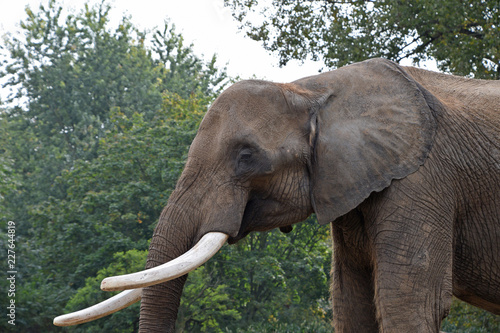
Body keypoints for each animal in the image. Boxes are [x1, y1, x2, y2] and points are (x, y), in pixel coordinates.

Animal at [53, 58, 500, 330]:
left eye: (246, 156)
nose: (104, 283)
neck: (312, 90)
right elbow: (351, 303)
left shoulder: (424, 181)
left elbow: (407, 302)